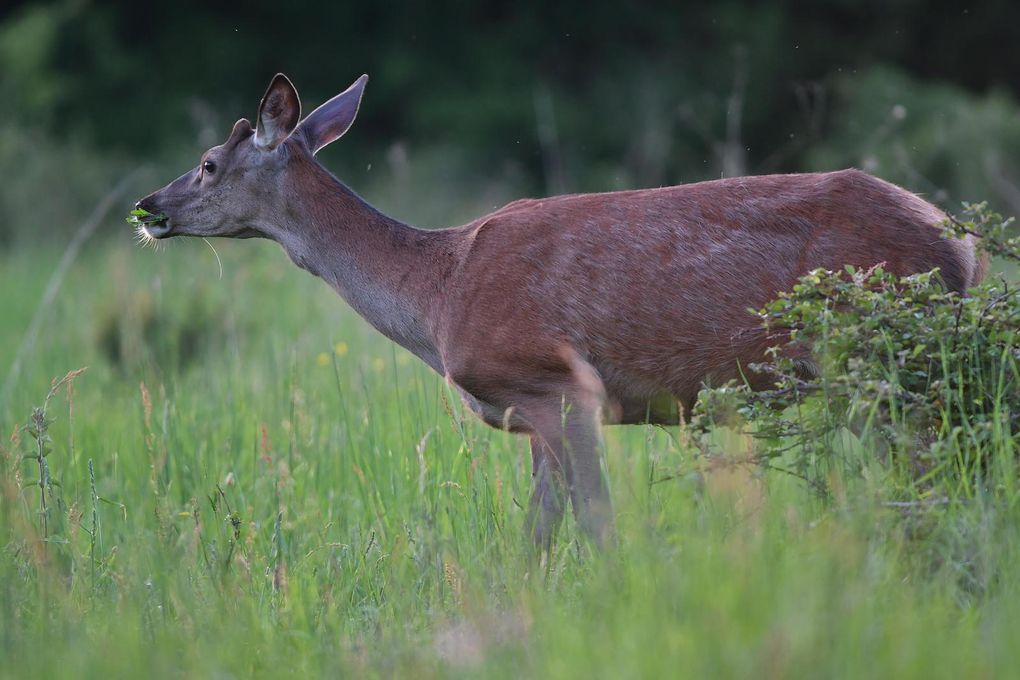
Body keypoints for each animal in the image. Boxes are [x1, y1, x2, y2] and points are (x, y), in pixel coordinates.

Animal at [135, 73, 987, 554]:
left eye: (207, 164)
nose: (148, 208)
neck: (438, 292)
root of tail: (965, 246)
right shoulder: (528, 415)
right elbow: (536, 540)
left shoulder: (556, 382)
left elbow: (597, 526)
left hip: (885, 364)